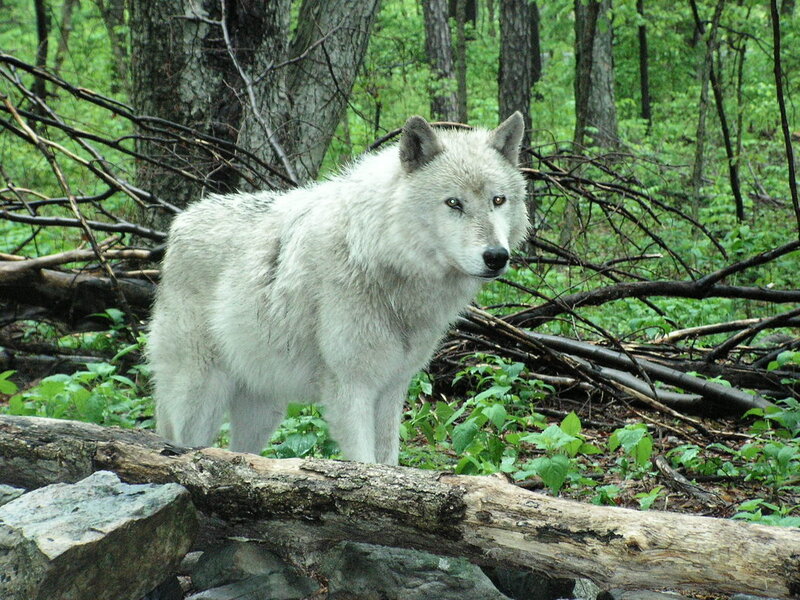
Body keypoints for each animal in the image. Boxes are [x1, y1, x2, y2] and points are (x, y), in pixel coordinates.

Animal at [148, 112, 529, 465]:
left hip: (264, 410)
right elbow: (365, 463)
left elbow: (389, 460)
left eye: (498, 200)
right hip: (199, 399)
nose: (496, 256)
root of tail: (180, 220)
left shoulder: (393, 387)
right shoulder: (352, 386)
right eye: (453, 203)